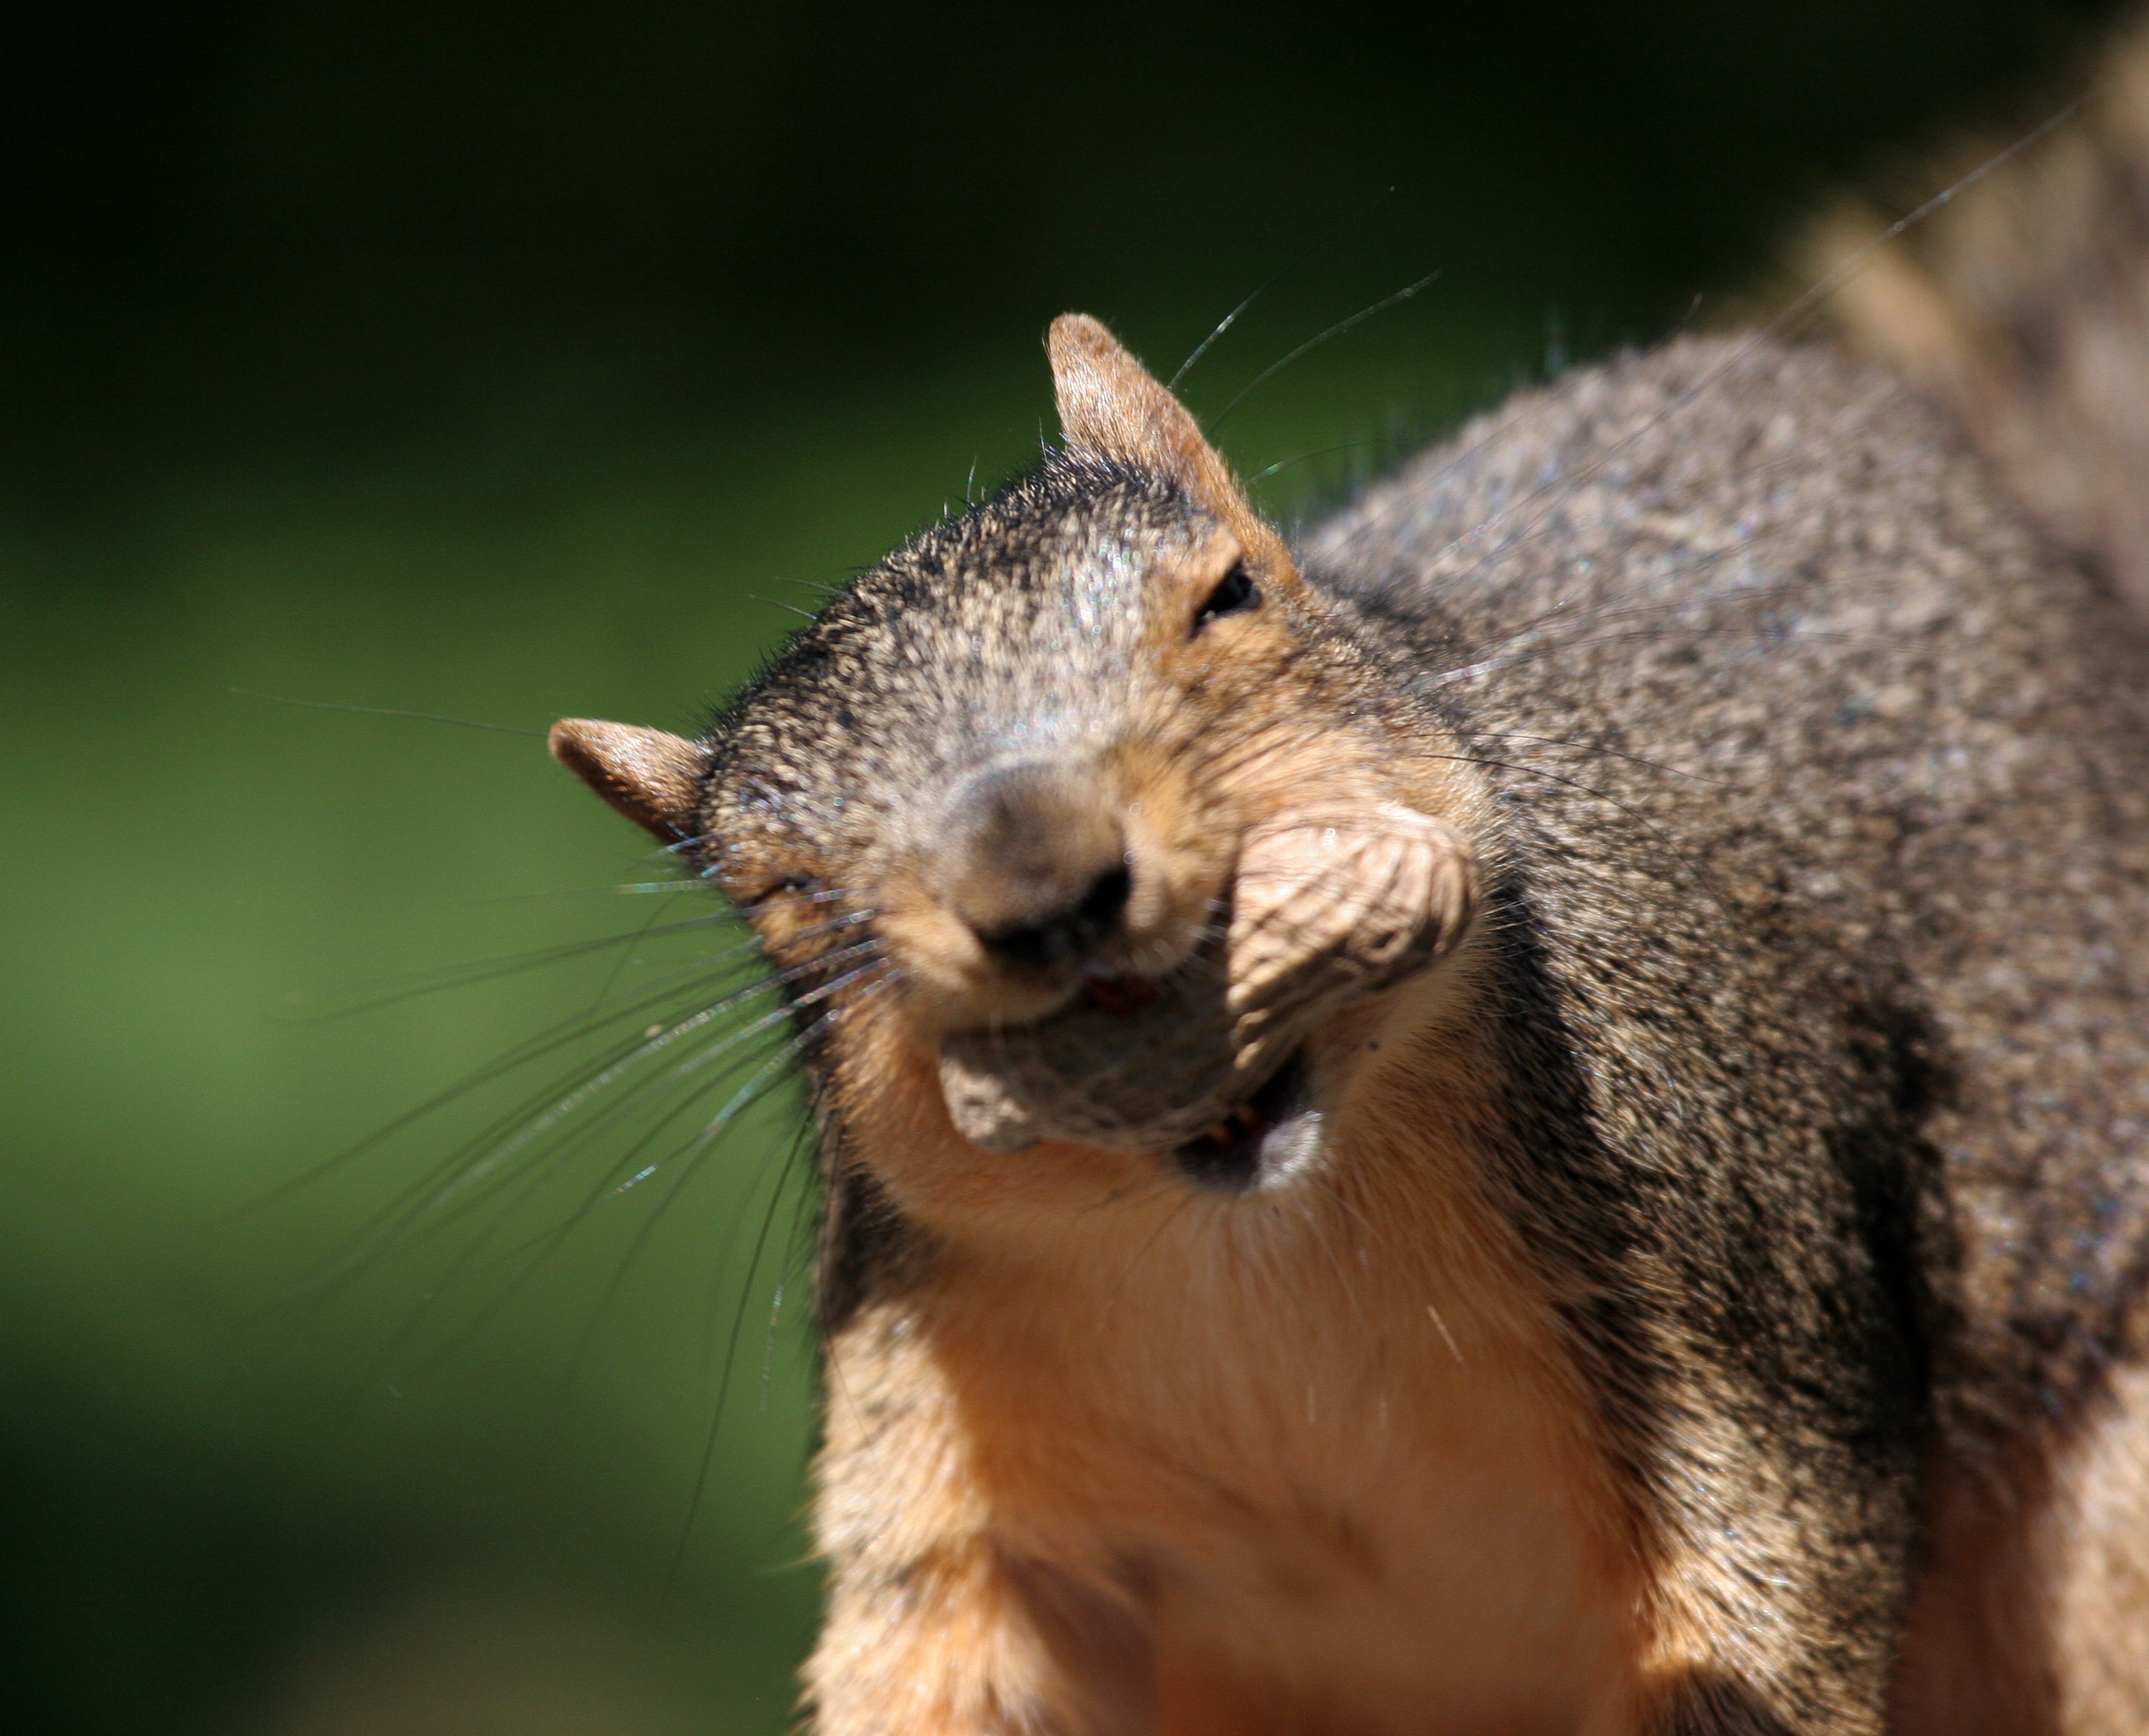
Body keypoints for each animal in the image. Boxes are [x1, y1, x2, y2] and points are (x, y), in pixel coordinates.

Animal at [541, 18, 2149, 1734]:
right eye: (768, 891)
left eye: (1229, 596)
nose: (1046, 891)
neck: (1251, 1257)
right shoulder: (953, 1484)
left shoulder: (1735, 1280)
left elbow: (1755, 1607)